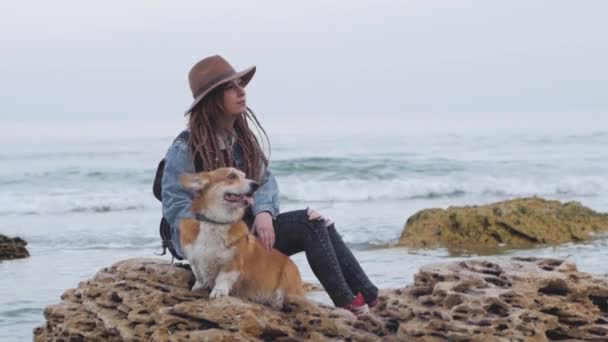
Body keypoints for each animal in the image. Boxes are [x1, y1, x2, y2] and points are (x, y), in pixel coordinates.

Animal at [179, 168, 304, 308]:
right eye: (231, 176)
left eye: (244, 176)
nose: (256, 185)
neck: (216, 223)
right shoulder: (194, 258)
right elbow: (199, 274)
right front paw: (198, 287)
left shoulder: (232, 263)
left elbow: (223, 278)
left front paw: (218, 291)